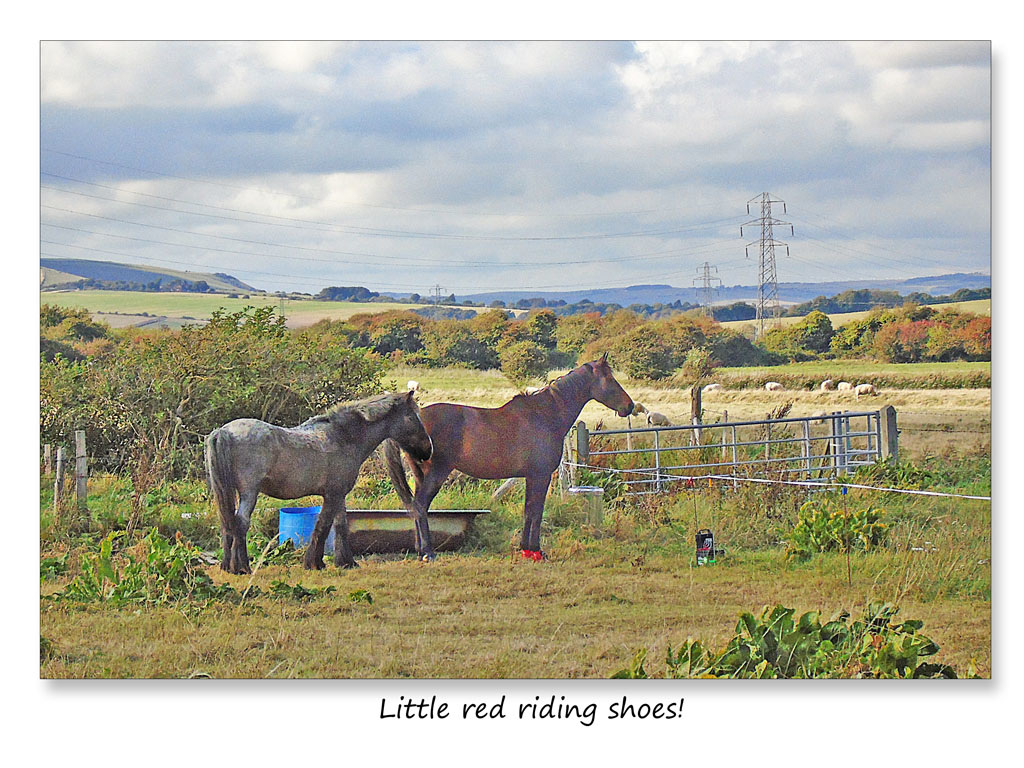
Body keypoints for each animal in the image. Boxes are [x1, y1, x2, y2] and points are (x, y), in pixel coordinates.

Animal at [203, 393, 432, 573]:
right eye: (412, 416)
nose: (428, 451)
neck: (343, 437)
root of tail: (224, 431)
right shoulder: (333, 494)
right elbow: (323, 525)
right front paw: (314, 563)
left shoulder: (339, 495)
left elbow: (340, 525)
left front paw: (346, 562)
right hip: (249, 492)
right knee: (240, 523)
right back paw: (242, 567)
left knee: (227, 523)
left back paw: (227, 566)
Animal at [387, 354, 634, 561]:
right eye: (610, 379)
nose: (629, 406)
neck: (545, 415)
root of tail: (418, 417)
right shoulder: (540, 476)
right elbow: (535, 512)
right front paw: (535, 551)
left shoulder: (531, 477)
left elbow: (529, 511)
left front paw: (526, 549)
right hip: (436, 473)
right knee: (420, 505)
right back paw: (428, 552)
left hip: (420, 475)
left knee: (416, 507)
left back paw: (420, 549)